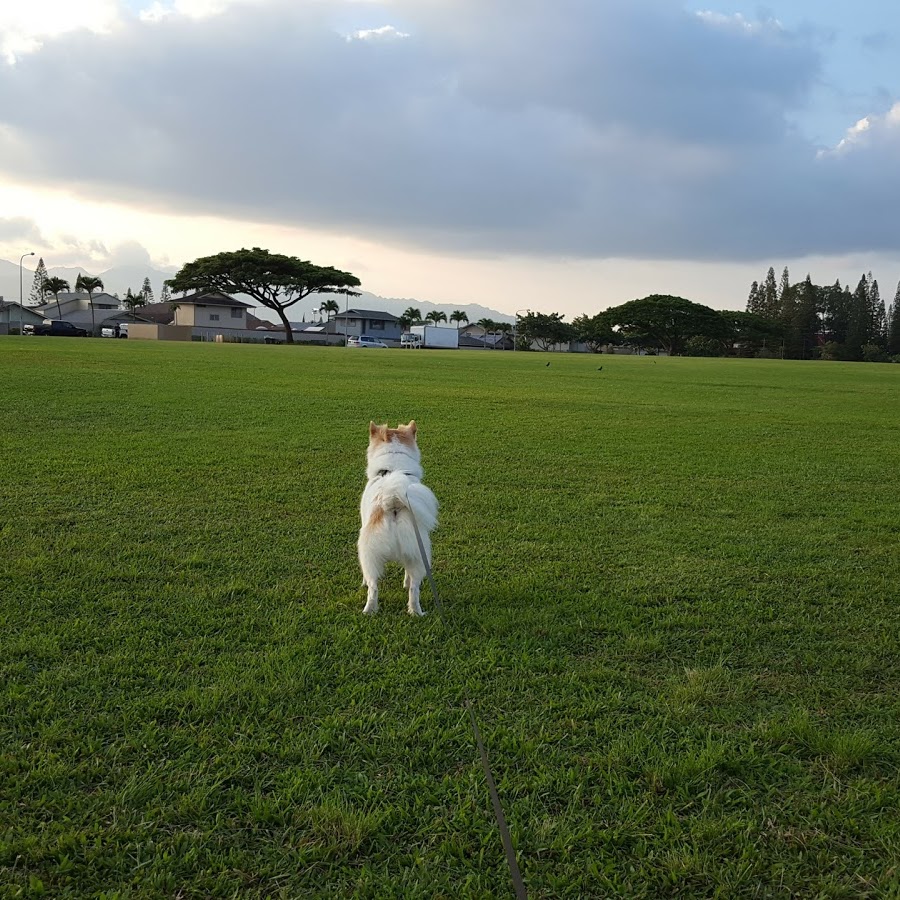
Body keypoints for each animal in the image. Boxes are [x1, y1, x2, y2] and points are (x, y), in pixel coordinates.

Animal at [360, 422, 442, 620]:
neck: (393, 467)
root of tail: (392, 501)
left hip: (368, 553)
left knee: (374, 587)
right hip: (417, 554)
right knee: (412, 589)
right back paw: (413, 611)